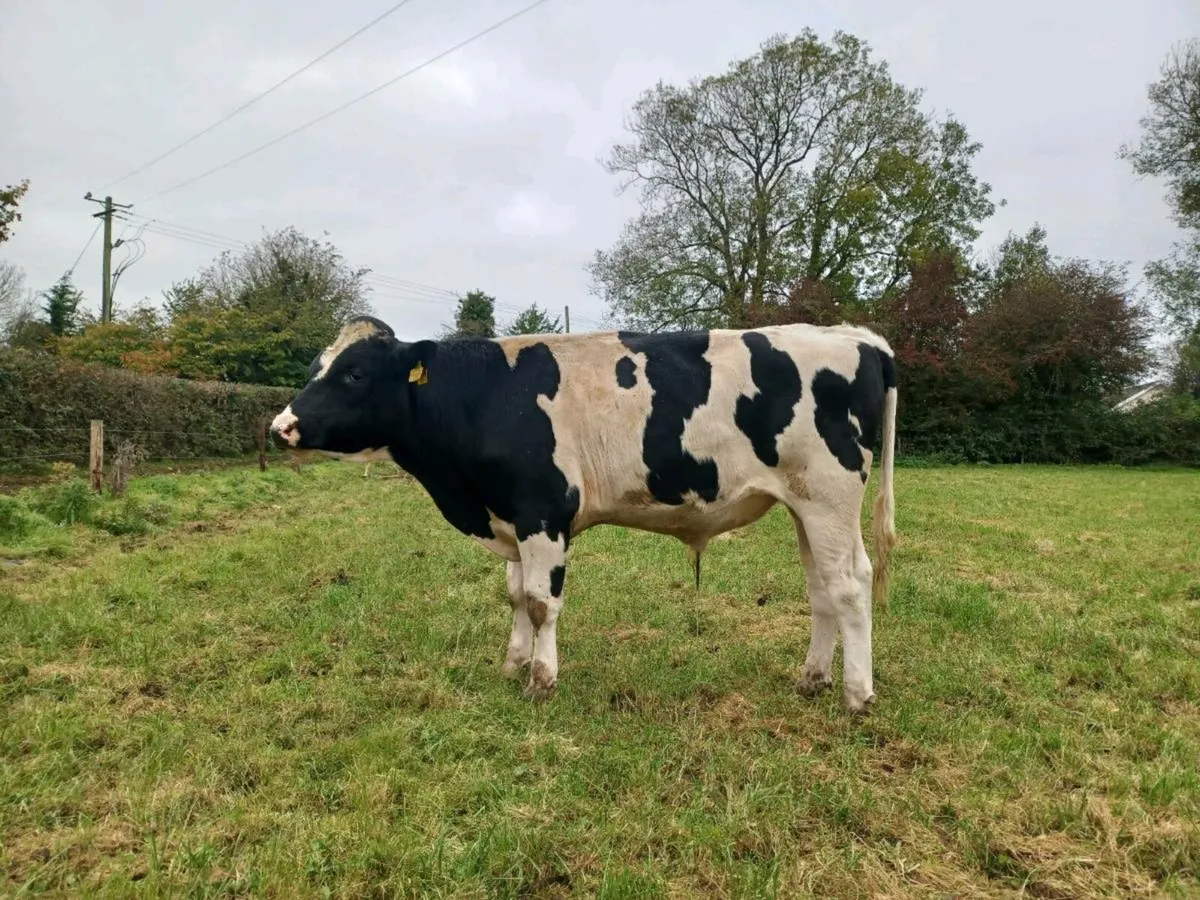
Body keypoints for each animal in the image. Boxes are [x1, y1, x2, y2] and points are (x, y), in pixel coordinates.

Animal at [271, 316, 898, 714]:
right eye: (315, 366)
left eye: (354, 373)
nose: (281, 426)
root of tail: (853, 334)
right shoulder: (510, 517)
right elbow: (515, 595)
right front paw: (513, 664)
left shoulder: (542, 512)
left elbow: (541, 603)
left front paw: (541, 681)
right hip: (805, 506)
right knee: (823, 587)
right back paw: (812, 679)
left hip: (830, 495)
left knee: (850, 586)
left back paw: (857, 695)